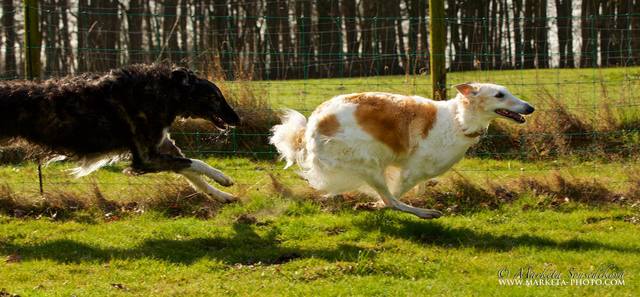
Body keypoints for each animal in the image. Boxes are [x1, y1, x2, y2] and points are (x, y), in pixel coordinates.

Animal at [0, 64, 240, 202]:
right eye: (215, 97)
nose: (238, 120)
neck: (158, 93)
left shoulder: (161, 146)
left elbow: (193, 174)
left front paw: (222, 195)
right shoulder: (146, 159)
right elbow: (196, 163)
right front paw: (223, 177)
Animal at [270, 82, 536, 217]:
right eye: (499, 95)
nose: (530, 108)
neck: (457, 119)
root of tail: (312, 124)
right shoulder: (412, 170)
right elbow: (395, 193)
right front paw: (375, 204)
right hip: (368, 164)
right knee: (392, 201)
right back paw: (424, 212)